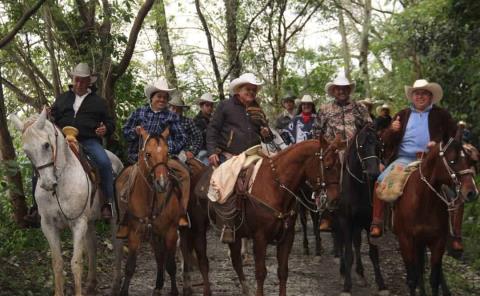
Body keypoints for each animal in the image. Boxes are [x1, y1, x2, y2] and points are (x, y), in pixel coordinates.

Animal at [9, 109, 124, 296]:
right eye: (26, 152)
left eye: (46, 145)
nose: (48, 183)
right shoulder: (48, 226)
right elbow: (57, 263)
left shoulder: (78, 223)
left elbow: (76, 264)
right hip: (89, 222)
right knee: (92, 247)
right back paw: (91, 284)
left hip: (114, 219)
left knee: (118, 246)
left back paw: (115, 285)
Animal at [117, 128, 184, 296]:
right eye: (148, 154)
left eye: (167, 153)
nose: (162, 183)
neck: (151, 198)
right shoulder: (135, 232)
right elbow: (130, 266)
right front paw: (124, 290)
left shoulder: (171, 232)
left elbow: (171, 265)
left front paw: (174, 291)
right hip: (154, 235)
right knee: (159, 257)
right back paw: (158, 285)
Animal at [182, 136, 344, 296]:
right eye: (328, 166)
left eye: (340, 166)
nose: (335, 200)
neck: (275, 186)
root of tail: (195, 177)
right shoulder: (260, 238)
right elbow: (260, 272)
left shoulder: (287, 237)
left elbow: (283, 272)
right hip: (198, 229)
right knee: (203, 260)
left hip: (233, 233)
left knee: (235, 261)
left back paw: (245, 289)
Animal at [334, 125, 390, 296]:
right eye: (361, 146)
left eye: (379, 146)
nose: (373, 173)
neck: (357, 187)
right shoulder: (345, 221)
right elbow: (348, 253)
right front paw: (347, 286)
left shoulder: (368, 221)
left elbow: (373, 253)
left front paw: (381, 285)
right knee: (341, 242)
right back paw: (342, 272)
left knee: (357, 242)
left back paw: (360, 273)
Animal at [392, 133, 478, 294]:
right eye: (452, 160)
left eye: (469, 161)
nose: (472, 192)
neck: (423, 202)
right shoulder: (406, 240)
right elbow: (412, 279)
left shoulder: (438, 241)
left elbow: (434, 279)